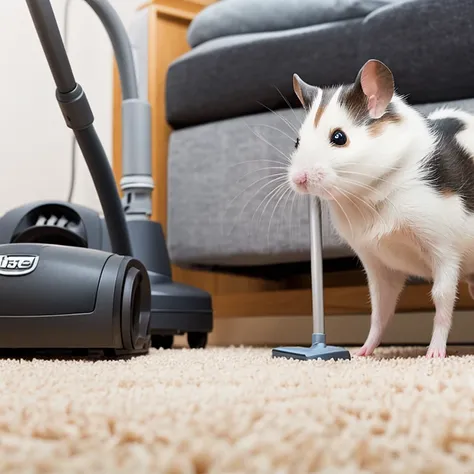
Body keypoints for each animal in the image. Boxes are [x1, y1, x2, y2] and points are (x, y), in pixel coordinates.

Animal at [288, 59, 474, 358]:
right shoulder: (377, 262)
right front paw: (363, 351)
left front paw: (435, 353)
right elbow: (379, 307)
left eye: (339, 137)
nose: (299, 179)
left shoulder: (444, 249)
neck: (369, 196)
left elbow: (442, 297)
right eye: (297, 142)